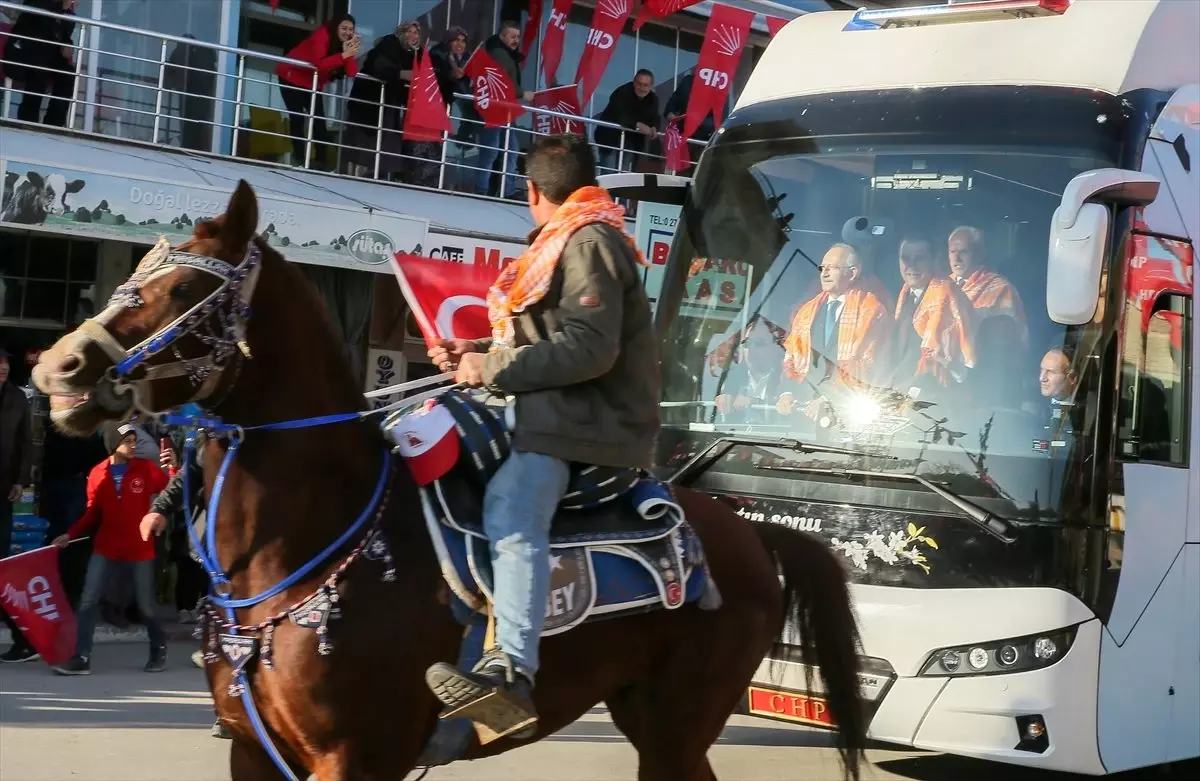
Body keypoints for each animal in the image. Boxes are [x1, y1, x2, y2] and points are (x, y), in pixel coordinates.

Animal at [32, 182, 868, 781]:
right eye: (135, 276)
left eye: (179, 291)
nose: (57, 368)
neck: (309, 545)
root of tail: (751, 532)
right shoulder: (253, 753)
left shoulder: (355, 760)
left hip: (675, 727)